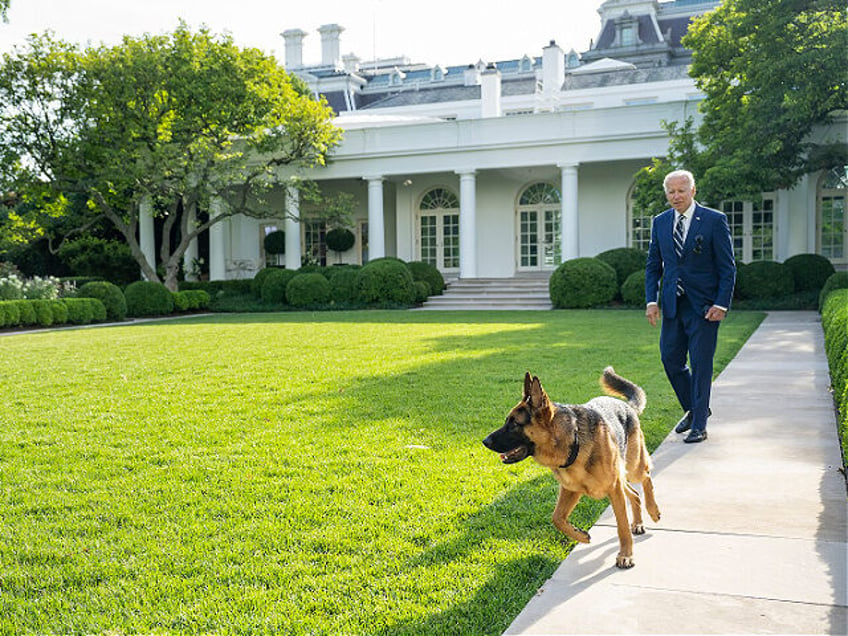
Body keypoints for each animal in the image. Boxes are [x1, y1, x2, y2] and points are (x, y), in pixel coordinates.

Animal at [484, 366, 656, 568]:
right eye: (506, 421)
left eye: (514, 425)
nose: (484, 441)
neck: (573, 441)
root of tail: (626, 406)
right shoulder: (571, 490)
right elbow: (557, 518)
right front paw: (581, 536)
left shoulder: (614, 490)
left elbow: (621, 527)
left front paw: (626, 555)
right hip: (621, 479)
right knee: (635, 494)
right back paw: (638, 523)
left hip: (633, 466)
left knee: (646, 477)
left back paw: (653, 511)